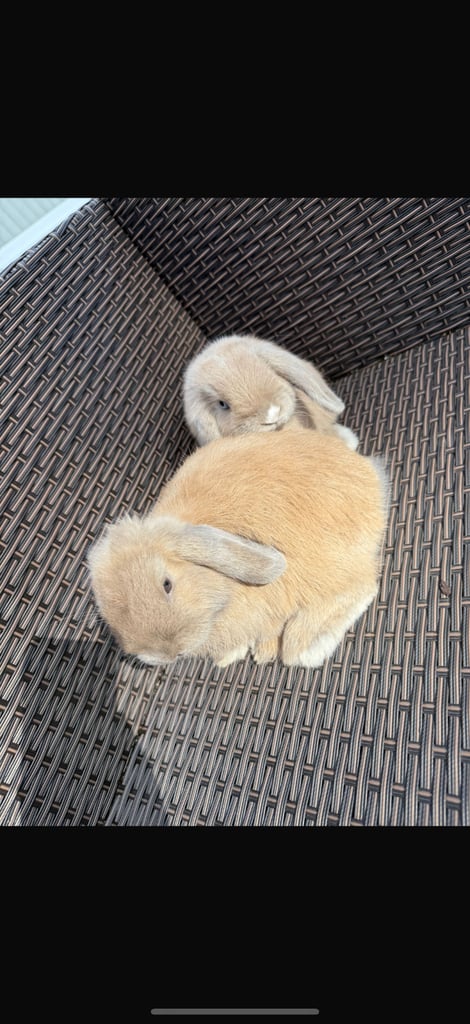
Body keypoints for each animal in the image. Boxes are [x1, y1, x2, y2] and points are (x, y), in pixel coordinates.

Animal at [88, 429, 388, 670]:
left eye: (167, 584)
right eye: (109, 614)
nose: (167, 655)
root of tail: (370, 474)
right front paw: (235, 654)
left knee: (361, 590)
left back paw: (306, 649)